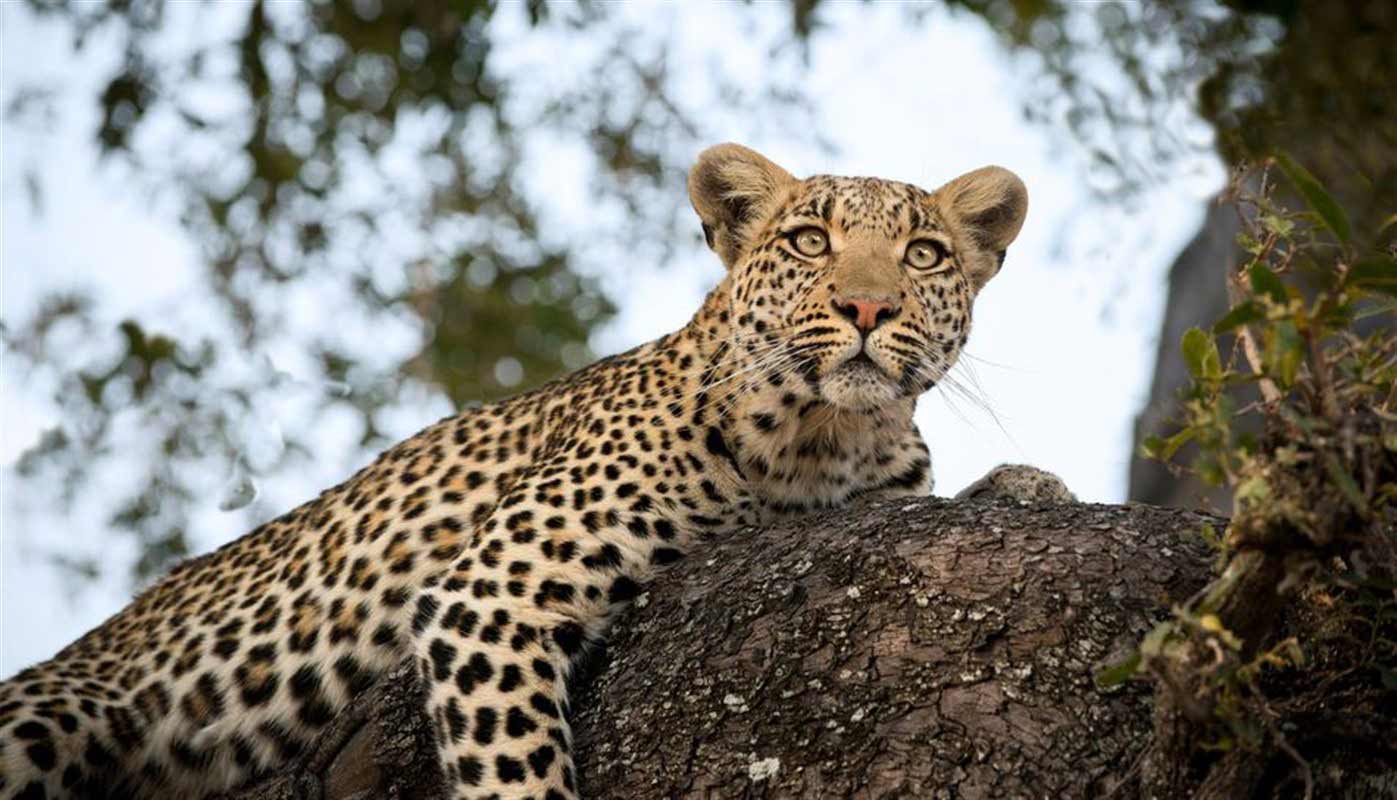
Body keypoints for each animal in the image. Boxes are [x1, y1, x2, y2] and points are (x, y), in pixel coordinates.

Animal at [2, 145, 1039, 798]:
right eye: (807, 241)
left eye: (923, 254)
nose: (867, 307)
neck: (824, 438)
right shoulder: (486, 596)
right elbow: (517, 770)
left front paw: (1024, 483)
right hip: (48, 715)